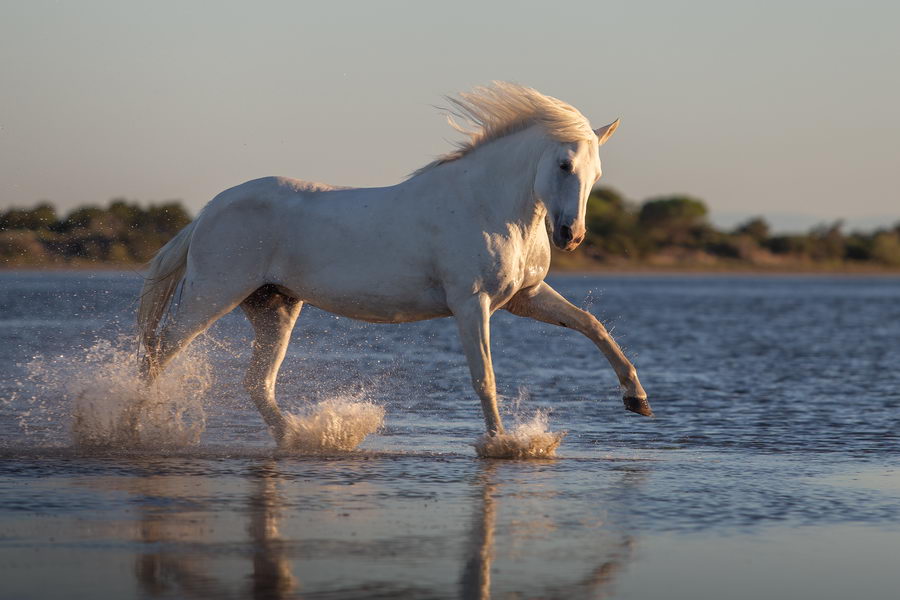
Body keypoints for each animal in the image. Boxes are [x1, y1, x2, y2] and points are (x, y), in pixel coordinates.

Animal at [137, 83, 652, 446]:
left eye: (597, 174)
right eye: (564, 165)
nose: (571, 236)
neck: (489, 206)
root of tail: (210, 210)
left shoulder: (524, 297)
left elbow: (592, 325)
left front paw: (638, 400)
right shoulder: (472, 303)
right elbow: (484, 377)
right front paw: (500, 444)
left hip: (274, 307)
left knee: (256, 383)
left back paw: (302, 437)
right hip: (212, 295)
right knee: (159, 353)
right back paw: (136, 425)